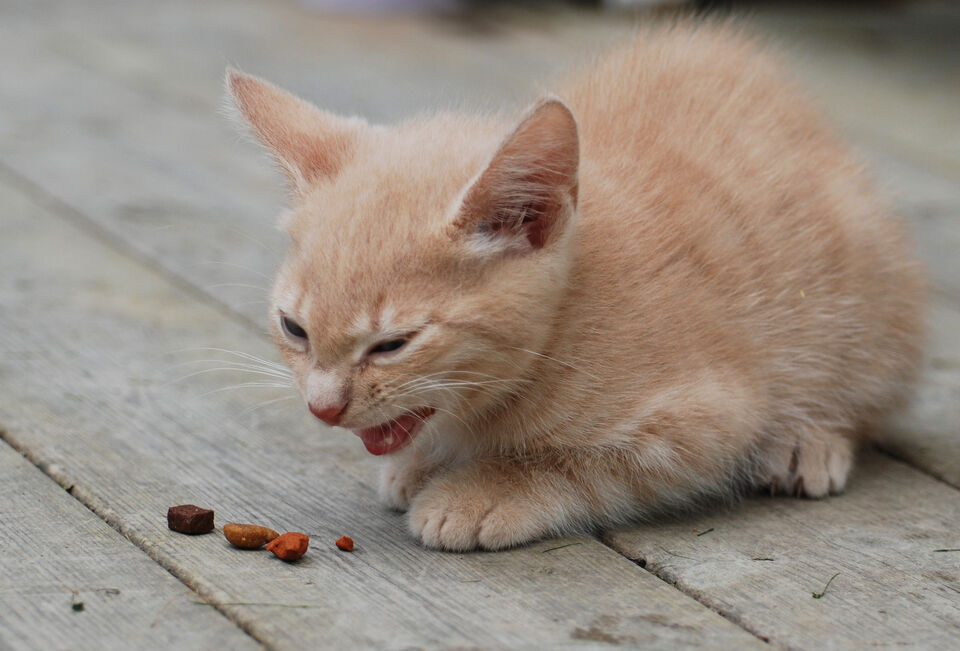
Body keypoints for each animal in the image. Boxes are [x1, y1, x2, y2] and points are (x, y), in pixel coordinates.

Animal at [226, 21, 925, 551]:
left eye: (393, 344)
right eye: (294, 329)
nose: (322, 408)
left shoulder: (709, 419)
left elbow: (579, 463)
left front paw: (484, 490)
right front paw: (418, 462)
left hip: (863, 291)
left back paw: (810, 440)